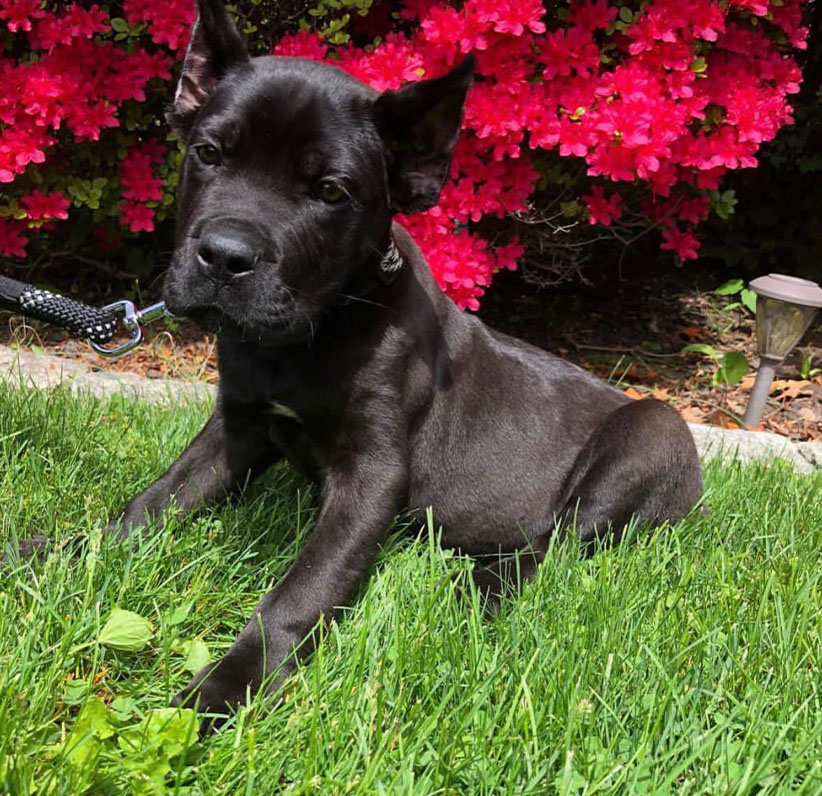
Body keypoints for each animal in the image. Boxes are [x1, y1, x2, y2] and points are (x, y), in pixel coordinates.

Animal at [32, 0, 708, 720]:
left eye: (331, 192)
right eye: (208, 154)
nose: (224, 256)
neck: (315, 331)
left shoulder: (373, 472)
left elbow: (304, 589)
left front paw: (227, 687)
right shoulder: (235, 427)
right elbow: (152, 504)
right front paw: (60, 551)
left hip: (652, 433)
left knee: (554, 546)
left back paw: (480, 587)